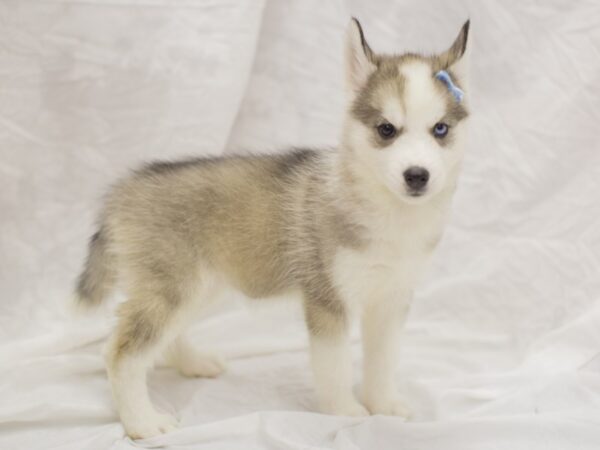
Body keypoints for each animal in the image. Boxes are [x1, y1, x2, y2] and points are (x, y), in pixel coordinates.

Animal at [75, 19, 472, 438]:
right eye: (386, 130)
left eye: (440, 129)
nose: (417, 175)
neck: (389, 214)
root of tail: (122, 189)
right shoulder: (327, 300)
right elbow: (335, 367)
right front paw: (346, 412)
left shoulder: (391, 300)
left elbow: (383, 360)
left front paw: (383, 406)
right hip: (172, 288)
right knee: (121, 352)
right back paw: (144, 423)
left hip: (200, 287)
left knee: (165, 336)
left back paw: (194, 363)